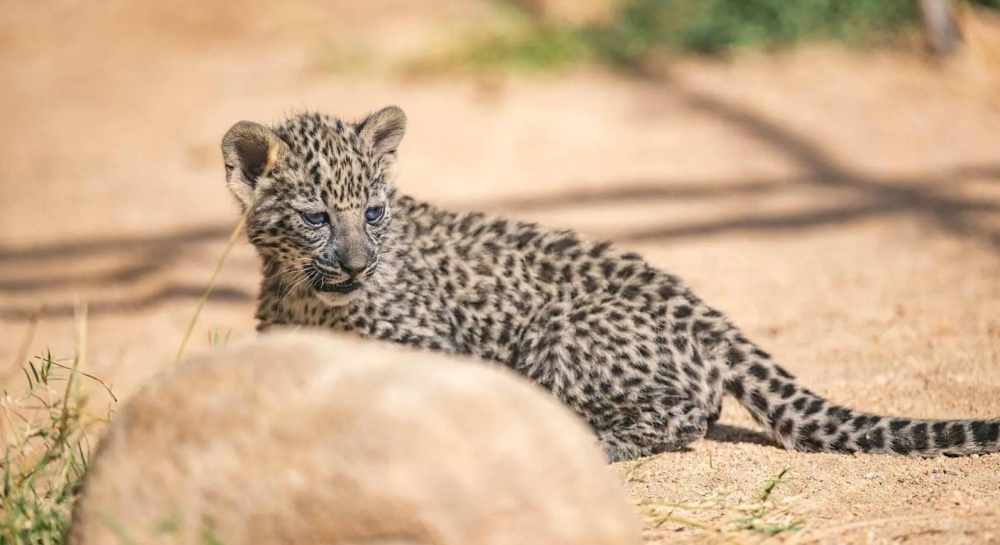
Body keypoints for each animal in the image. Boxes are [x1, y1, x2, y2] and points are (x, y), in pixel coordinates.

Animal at [220, 106, 1000, 462]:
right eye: (318, 217)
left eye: (375, 213)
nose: (358, 265)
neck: (307, 292)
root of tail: (709, 317)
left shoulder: (433, 346)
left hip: (563, 330)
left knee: (687, 415)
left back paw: (593, 439)